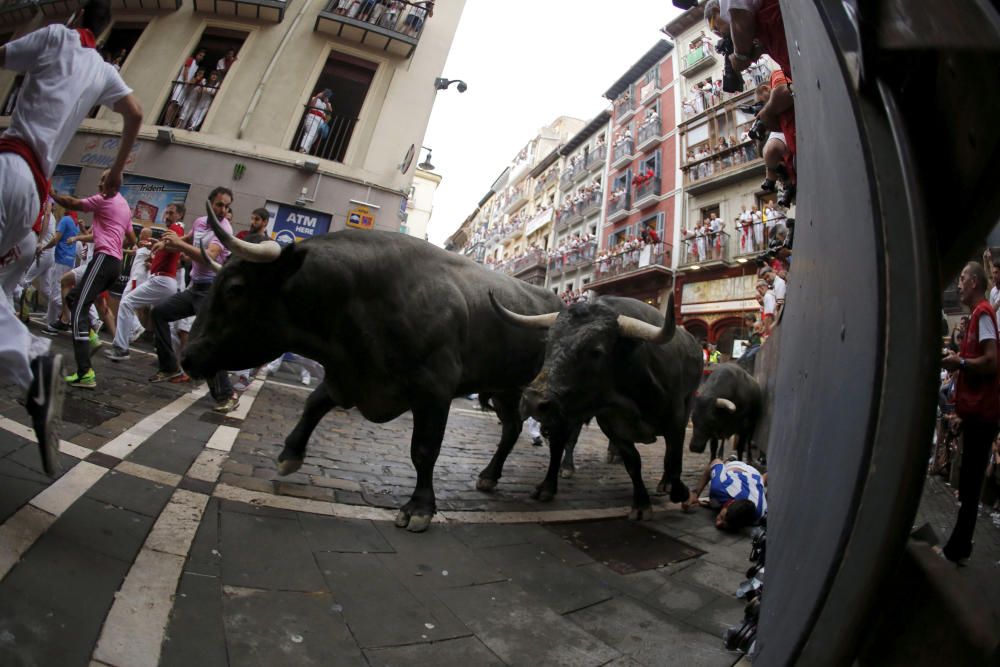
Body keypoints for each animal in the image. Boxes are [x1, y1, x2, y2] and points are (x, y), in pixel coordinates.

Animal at [492, 294, 704, 520]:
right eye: (547, 342)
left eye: (596, 352)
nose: (532, 402)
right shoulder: (611, 426)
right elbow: (633, 463)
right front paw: (641, 504)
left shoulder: (677, 420)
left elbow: (673, 460)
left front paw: (678, 490)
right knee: (567, 441)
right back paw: (562, 473)